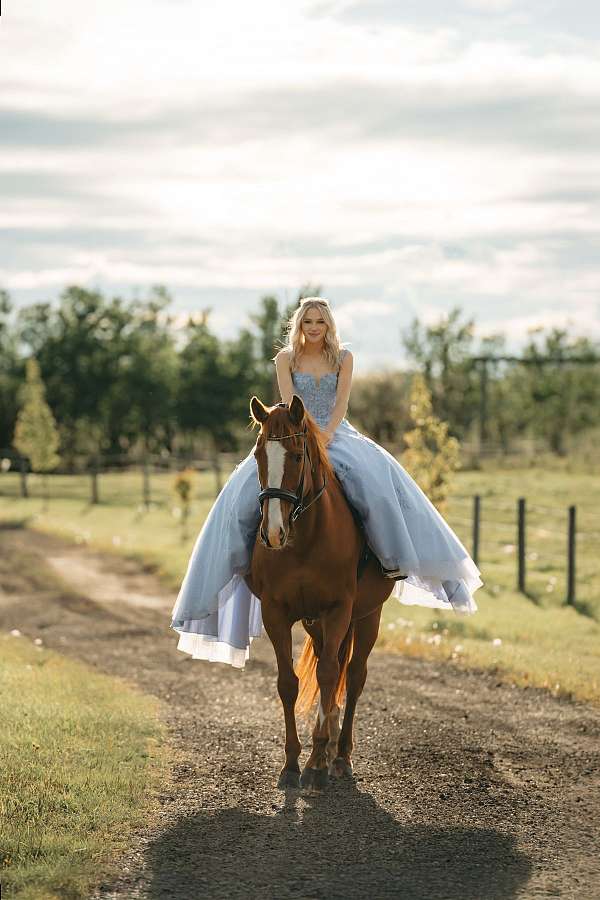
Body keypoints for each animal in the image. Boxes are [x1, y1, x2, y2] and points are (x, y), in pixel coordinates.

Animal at [245, 394, 394, 796]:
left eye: (298, 456)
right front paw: (292, 764)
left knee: (353, 676)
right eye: (258, 455)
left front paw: (315, 764)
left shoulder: (338, 609)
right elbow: (287, 683)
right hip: (317, 624)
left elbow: (329, 675)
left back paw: (339, 755)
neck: (304, 539)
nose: (274, 533)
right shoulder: (276, 613)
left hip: (367, 616)